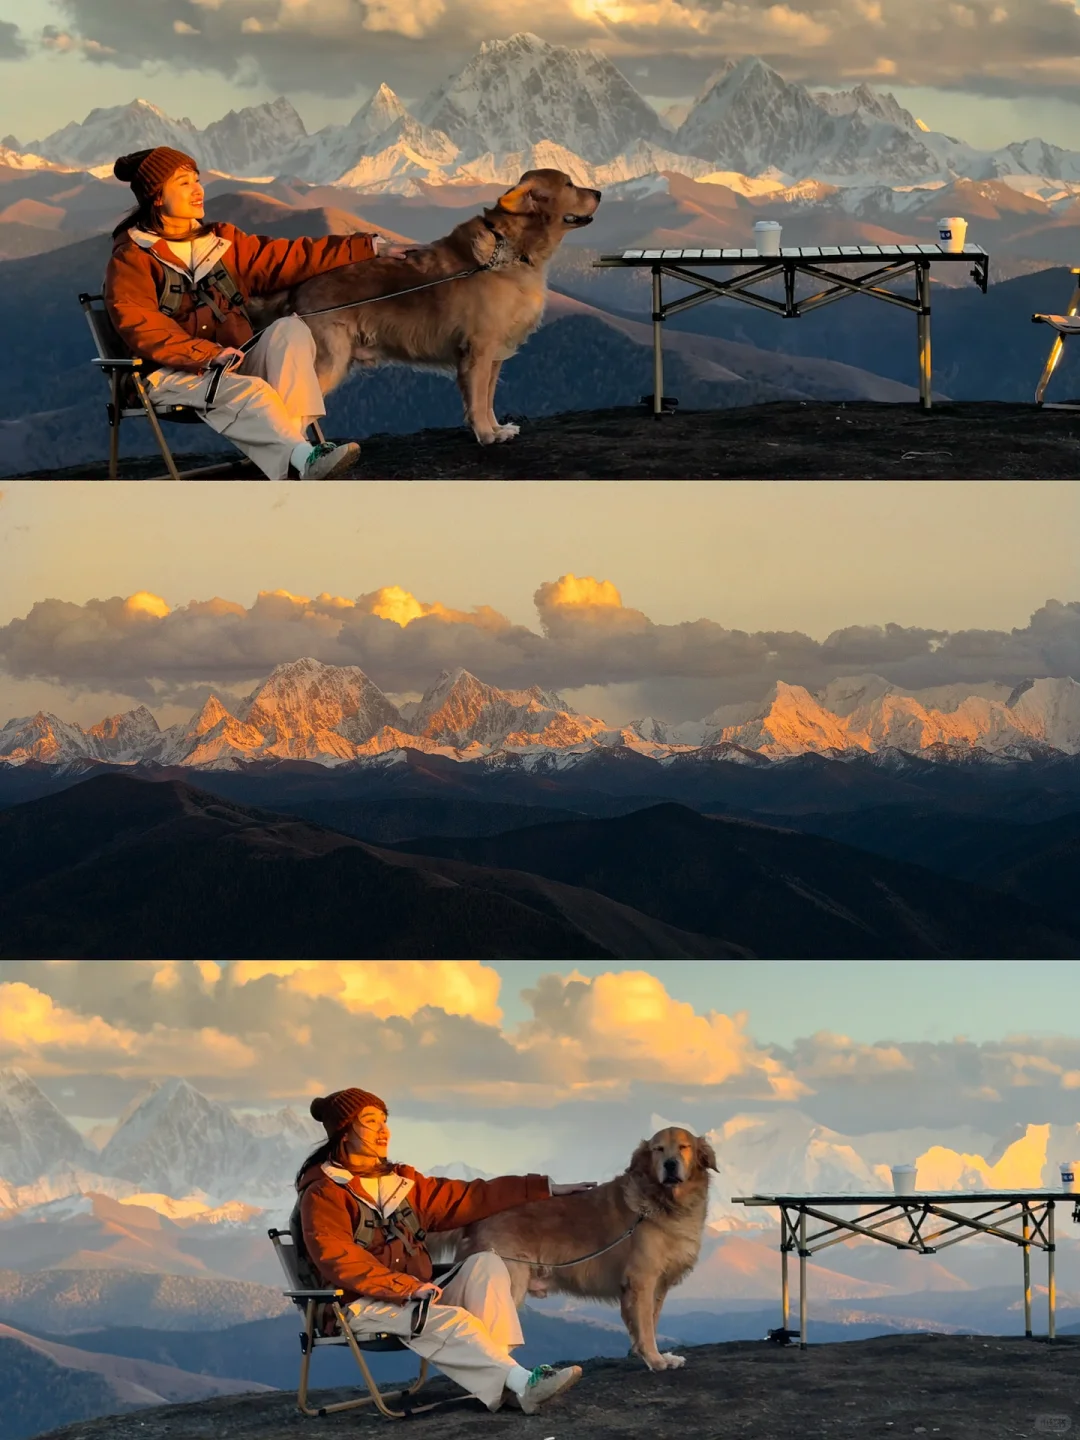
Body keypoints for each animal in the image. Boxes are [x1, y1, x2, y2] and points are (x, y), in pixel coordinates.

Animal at [260, 167, 601, 440]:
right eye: (569, 184)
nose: (598, 192)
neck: (512, 250)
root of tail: (298, 288)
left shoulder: (494, 355)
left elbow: (488, 397)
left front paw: (497, 428)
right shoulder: (477, 350)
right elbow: (477, 400)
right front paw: (485, 434)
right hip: (328, 362)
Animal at [452, 1123, 714, 1370]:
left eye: (683, 1147)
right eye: (658, 1149)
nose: (670, 1164)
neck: (663, 1202)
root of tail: (474, 1219)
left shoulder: (658, 1284)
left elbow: (651, 1321)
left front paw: (656, 1356)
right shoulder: (641, 1280)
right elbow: (646, 1327)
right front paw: (655, 1360)